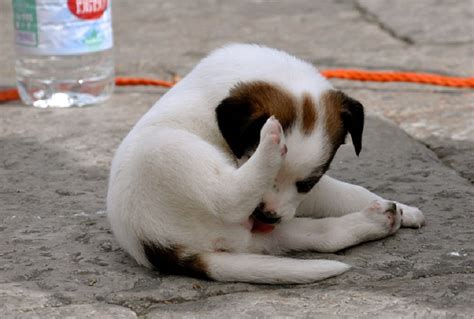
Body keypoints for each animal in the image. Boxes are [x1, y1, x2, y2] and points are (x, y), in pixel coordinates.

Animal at [108, 43, 426, 284]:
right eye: (247, 155)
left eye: (306, 183)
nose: (266, 216)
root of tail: (154, 245)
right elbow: (346, 192)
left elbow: (343, 193)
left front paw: (406, 210)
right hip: (170, 152)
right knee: (228, 197)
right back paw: (271, 142)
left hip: (262, 239)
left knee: (324, 236)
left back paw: (379, 219)